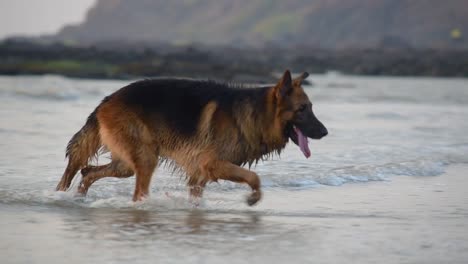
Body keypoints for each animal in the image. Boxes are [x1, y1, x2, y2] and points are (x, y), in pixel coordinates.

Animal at [56, 70, 328, 206]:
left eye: (310, 107)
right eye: (302, 109)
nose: (325, 132)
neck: (257, 113)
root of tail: (105, 101)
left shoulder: (199, 174)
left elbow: (197, 195)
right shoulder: (212, 164)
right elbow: (254, 177)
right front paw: (253, 198)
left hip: (126, 164)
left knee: (87, 172)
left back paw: (78, 198)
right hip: (145, 160)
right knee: (133, 190)